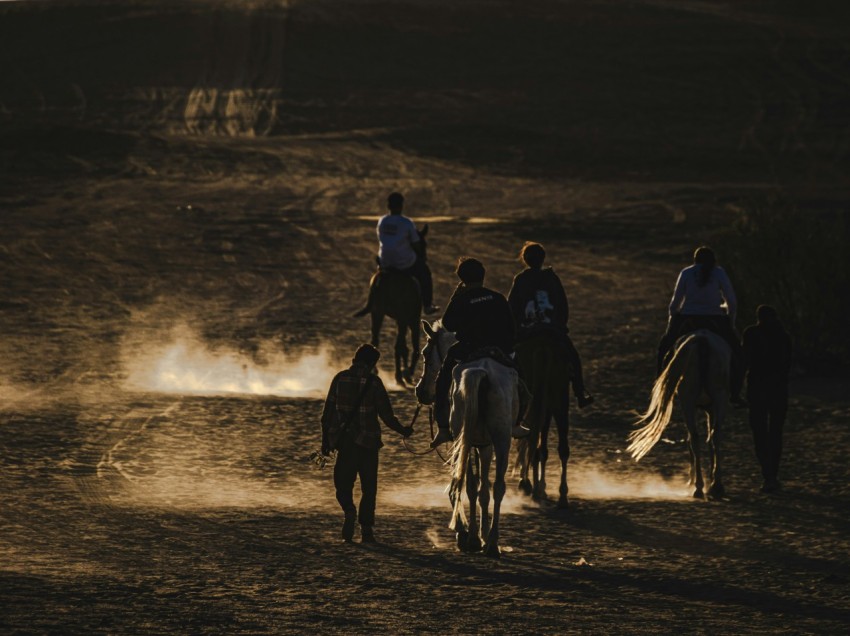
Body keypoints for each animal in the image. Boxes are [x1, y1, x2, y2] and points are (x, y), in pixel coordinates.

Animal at [412, 320, 516, 556]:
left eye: (425, 353)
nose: (420, 391)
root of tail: (483, 372)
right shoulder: (485, 444)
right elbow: (484, 488)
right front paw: (482, 534)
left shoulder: (466, 443)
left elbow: (467, 484)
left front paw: (467, 533)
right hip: (501, 440)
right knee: (498, 487)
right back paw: (492, 543)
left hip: (465, 439)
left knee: (465, 484)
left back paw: (473, 539)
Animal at [628, 328, 728, 502]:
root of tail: (702, 340)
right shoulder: (711, 407)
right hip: (713, 397)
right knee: (706, 436)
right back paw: (709, 486)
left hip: (692, 399)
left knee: (697, 437)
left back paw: (703, 486)